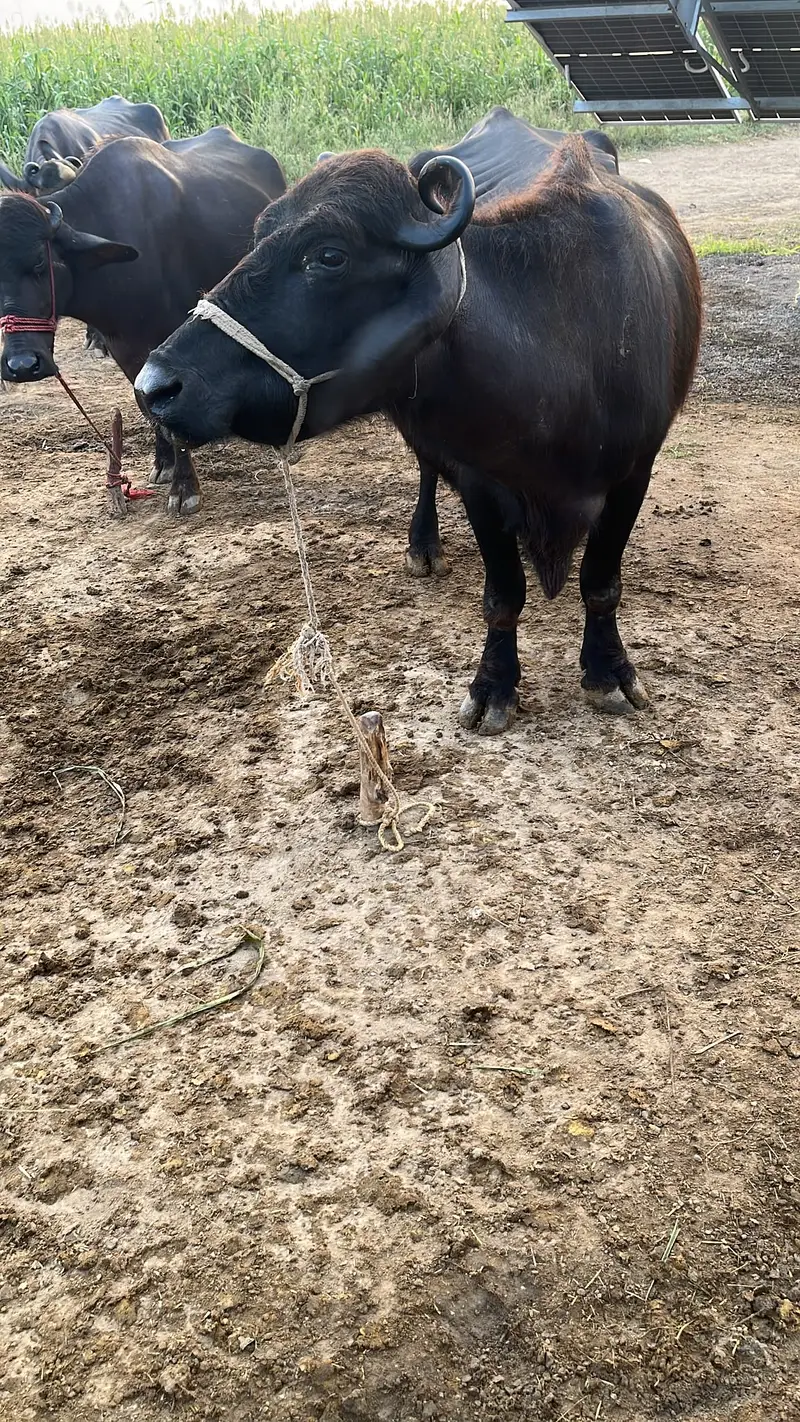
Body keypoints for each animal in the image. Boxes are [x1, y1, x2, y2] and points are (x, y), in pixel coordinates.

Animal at [0, 126, 286, 513]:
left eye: (41, 264)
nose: (21, 365)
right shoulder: (124, 347)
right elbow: (147, 406)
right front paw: (164, 464)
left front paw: (184, 488)